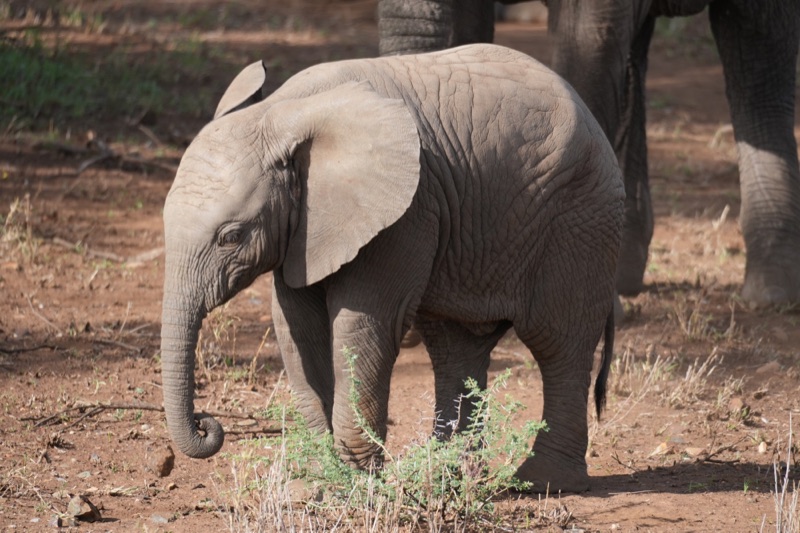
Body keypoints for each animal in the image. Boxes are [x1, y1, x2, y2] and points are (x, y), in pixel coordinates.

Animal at [159, 43, 624, 493]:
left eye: (231, 236)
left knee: (559, 343)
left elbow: (362, 324)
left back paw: (540, 483)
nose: (206, 423)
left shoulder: (406, 213)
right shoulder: (301, 229)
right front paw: (313, 487)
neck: (282, 110)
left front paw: (355, 486)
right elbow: (296, 327)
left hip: (580, 221)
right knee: (456, 347)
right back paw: (445, 477)